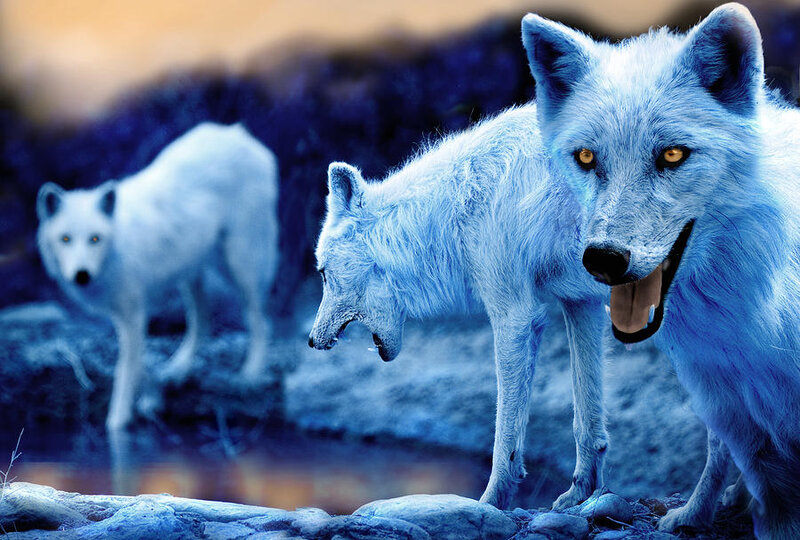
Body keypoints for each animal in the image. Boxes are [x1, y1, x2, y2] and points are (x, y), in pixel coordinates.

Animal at [36, 122, 279, 431]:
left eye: (95, 238)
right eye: (65, 238)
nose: (82, 275)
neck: (116, 248)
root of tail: (240, 134)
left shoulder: (133, 313)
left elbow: (125, 370)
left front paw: (118, 422)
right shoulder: (127, 316)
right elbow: (139, 363)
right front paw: (154, 396)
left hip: (240, 265)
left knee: (261, 321)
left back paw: (249, 375)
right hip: (191, 275)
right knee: (203, 322)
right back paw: (178, 369)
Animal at [308, 105, 611, 509]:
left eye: (323, 274)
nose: (311, 340)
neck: (457, 204)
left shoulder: (515, 315)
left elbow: (505, 435)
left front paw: (491, 502)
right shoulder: (582, 302)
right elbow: (586, 419)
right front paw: (580, 495)